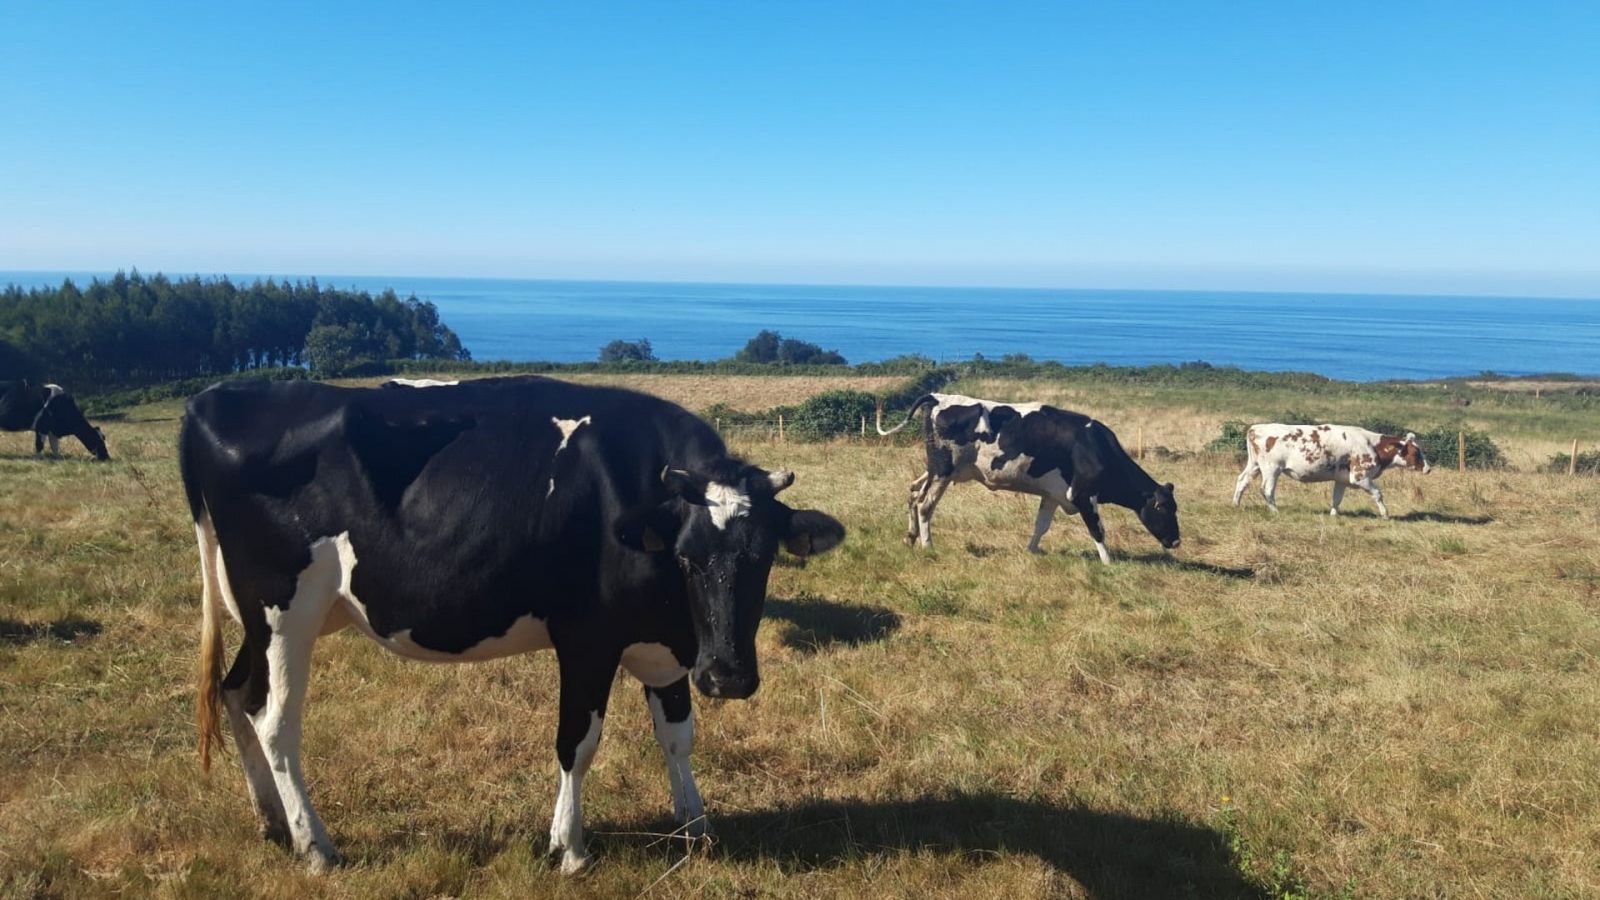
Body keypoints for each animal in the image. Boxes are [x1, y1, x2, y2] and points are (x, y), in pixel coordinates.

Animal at [181, 374, 844, 871]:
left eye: (765, 557)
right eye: (686, 556)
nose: (727, 676)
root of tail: (214, 398)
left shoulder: (667, 644)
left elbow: (677, 734)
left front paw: (696, 825)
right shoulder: (586, 639)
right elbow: (577, 742)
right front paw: (569, 847)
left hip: (275, 617)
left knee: (236, 693)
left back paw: (272, 822)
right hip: (284, 608)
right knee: (274, 722)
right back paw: (315, 845)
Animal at [876, 390, 1177, 560]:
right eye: (1163, 508)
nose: (1176, 540)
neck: (1095, 446)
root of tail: (938, 397)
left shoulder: (1054, 495)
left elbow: (1041, 526)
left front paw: (1031, 551)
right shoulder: (1083, 494)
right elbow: (1098, 530)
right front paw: (1108, 563)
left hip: (938, 470)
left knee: (913, 492)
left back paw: (910, 537)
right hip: (943, 471)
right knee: (925, 505)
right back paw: (927, 545)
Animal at [1228, 422, 1433, 515]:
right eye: (1416, 452)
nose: (1429, 468)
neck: (1372, 445)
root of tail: (1256, 428)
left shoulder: (1341, 479)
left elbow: (1337, 498)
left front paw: (1334, 515)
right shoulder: (1361, 477)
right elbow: (1378, 494)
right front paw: (1385, 514)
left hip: (1254, 465)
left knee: (1242, 481)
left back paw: (1236, 504)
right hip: (1272, 469)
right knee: (1267, 489)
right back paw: (1275, 511)